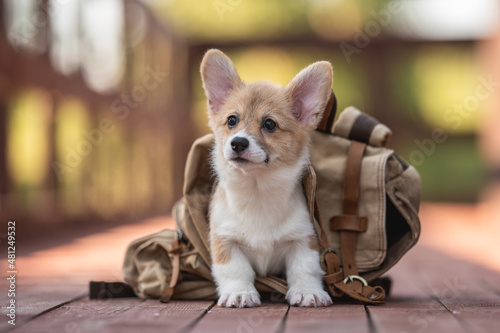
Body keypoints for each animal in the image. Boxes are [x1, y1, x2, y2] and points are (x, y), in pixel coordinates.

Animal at [199, 48, 332, 306]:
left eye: (269, 124)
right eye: (232, 120)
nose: (238, 143)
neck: (257, 189)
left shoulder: (303, 239)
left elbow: (305, 268)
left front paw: (308, 291)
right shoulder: (225, 240)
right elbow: (235, 270)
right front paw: (240, 293)